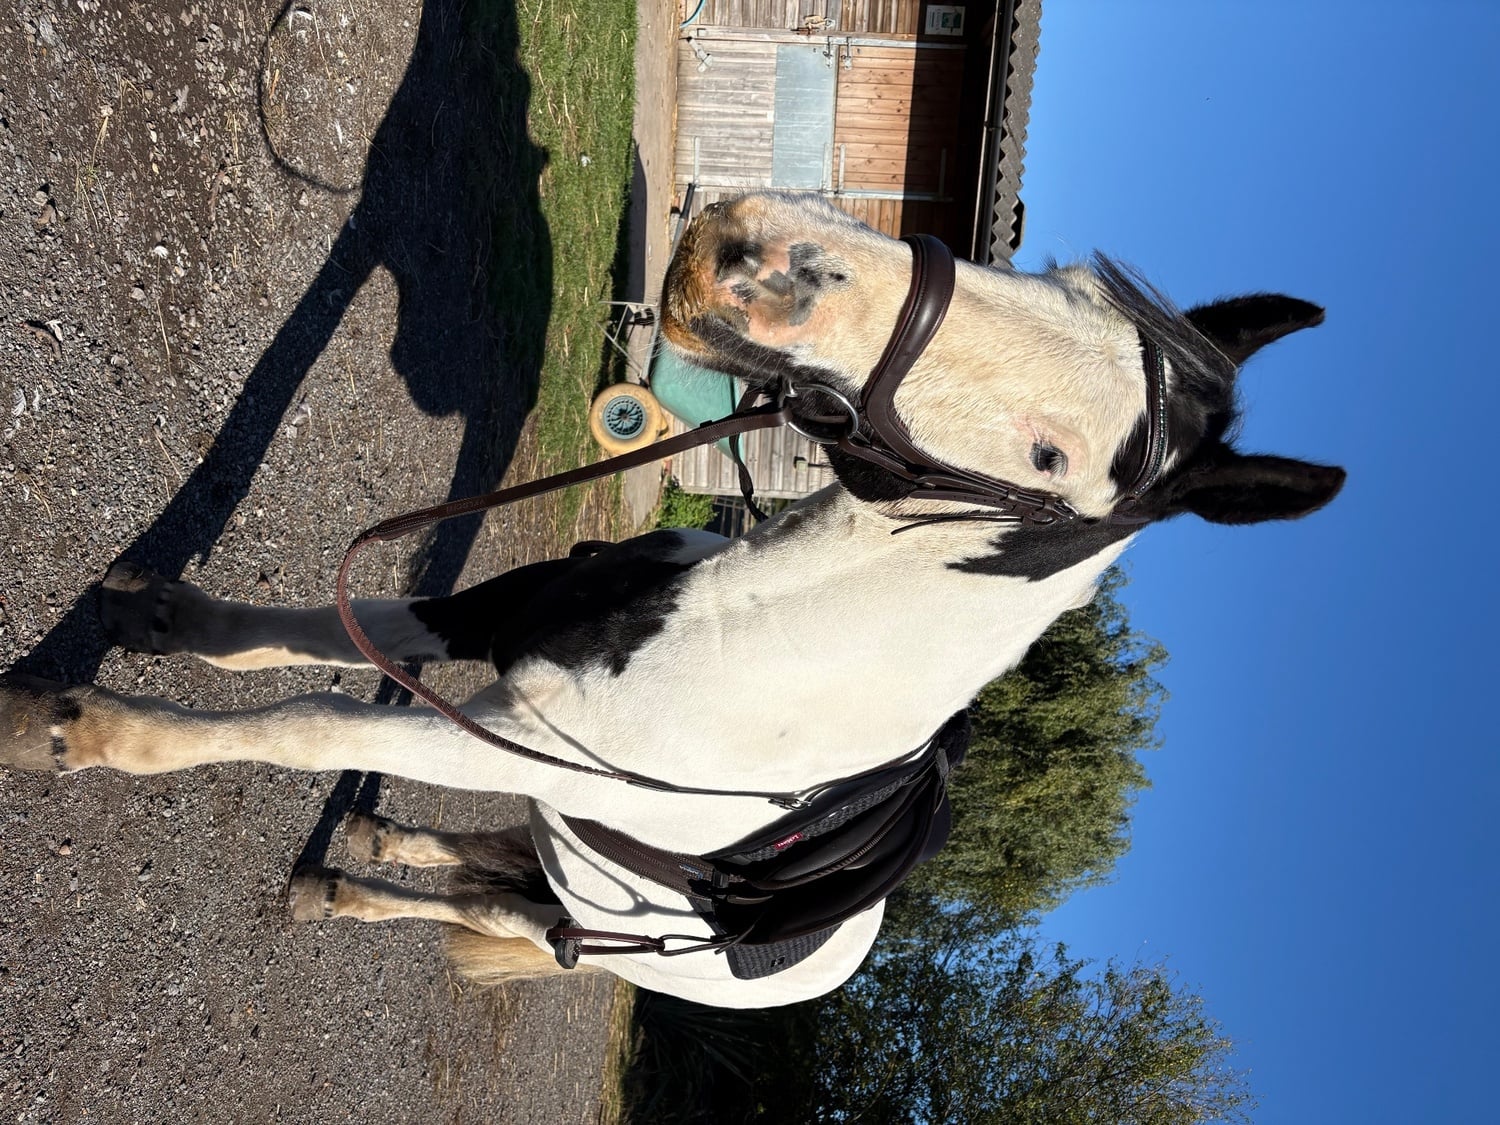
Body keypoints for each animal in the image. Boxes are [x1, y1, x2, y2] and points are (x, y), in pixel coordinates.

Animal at [0, 191, 1344, 1009]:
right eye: (1041, 270)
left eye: (1053, 454)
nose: (747, 249)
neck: (756, 639)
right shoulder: (501, 630)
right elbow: (307, 639)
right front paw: (159, 617)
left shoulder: (515, 742)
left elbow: (302, 724)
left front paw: (77, 730)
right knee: (485, 870)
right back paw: (360, 859)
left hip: (580, 920)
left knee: (515, 913)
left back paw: (341, 878)